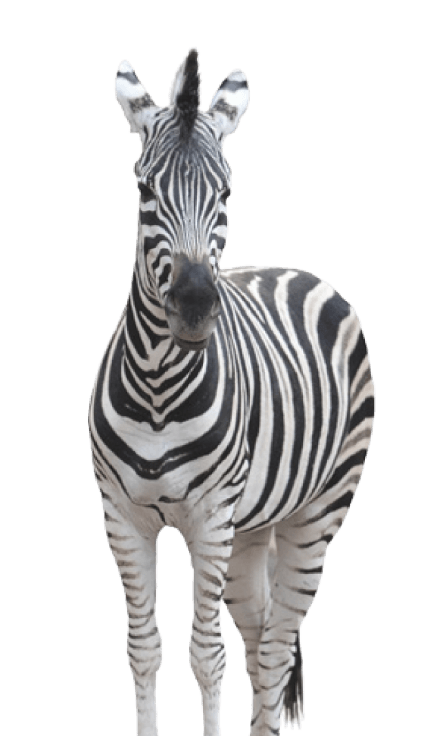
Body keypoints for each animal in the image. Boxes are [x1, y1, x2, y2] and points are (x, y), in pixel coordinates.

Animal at [88, 47, 375, 736]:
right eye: (144, 191)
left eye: (226, 193)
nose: (194, 306)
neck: (158, 387)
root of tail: (297, 270)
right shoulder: (123, 516)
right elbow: (145, 650)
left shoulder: (210, 516)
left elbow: (206, 655)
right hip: (251, 528)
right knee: (262, 635)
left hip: (318, 512)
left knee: (274, 646)